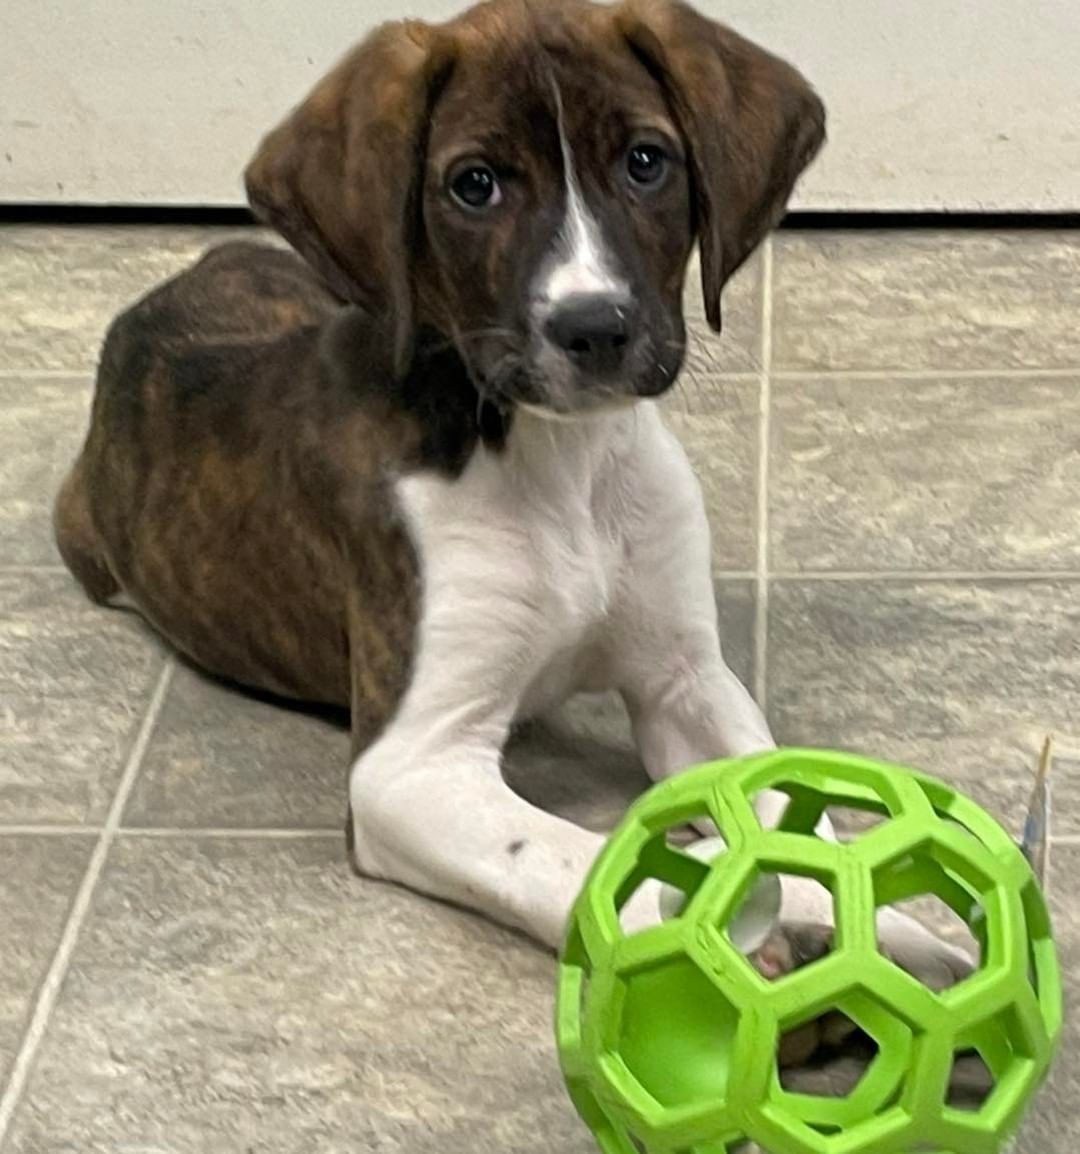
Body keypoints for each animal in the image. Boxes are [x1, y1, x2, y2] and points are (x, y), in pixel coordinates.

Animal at [52, 0, 969, 992]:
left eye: (645, 160)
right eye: (475, 185)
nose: (594, 328)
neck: (559, 459)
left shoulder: (685, 678)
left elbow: (784, 811)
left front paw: (884, 935)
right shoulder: (412, 766)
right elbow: (578, 861)